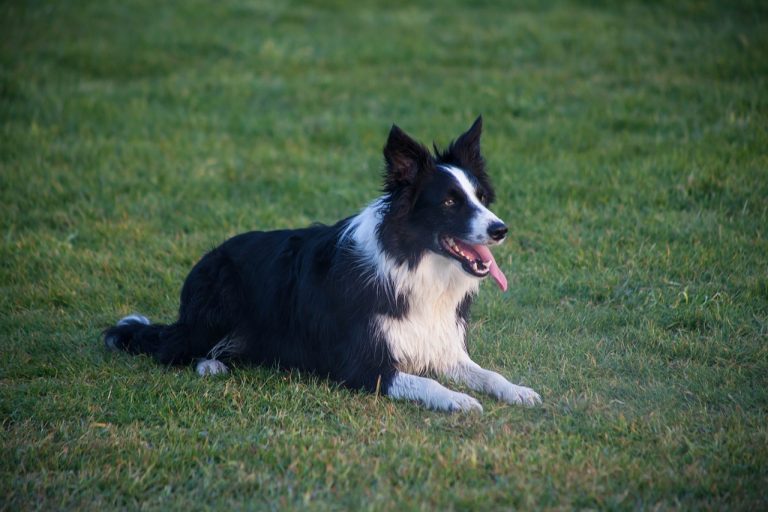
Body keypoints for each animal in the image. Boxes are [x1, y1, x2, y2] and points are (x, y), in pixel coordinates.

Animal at [105, 117, 540, 412]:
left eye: (481, 198)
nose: (500, 229)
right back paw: (209, 364)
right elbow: (427, 384)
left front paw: (517, 390)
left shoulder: (442, 348)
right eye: (450, 201)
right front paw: (458, 400)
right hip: (218, 300)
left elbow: (488, 374)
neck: (412, 263)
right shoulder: (361, 365)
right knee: (169, 349)